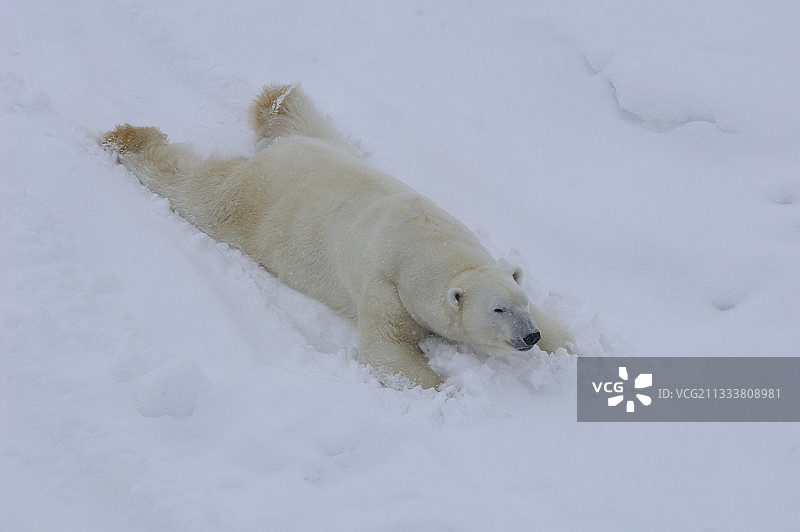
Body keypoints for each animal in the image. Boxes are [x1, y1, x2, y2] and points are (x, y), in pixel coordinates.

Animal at [102, 84, 562, 389]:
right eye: (498, 310)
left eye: (521, 304)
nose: (530, 336)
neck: (430, 245)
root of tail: (274, 156)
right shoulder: (386, 288)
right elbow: (387, 351)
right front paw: (446, 389)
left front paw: (565, 344)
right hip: (251, 205)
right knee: (197, 191)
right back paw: (128, 139)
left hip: (326, 144)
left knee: (297, 116)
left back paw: (277, 96)